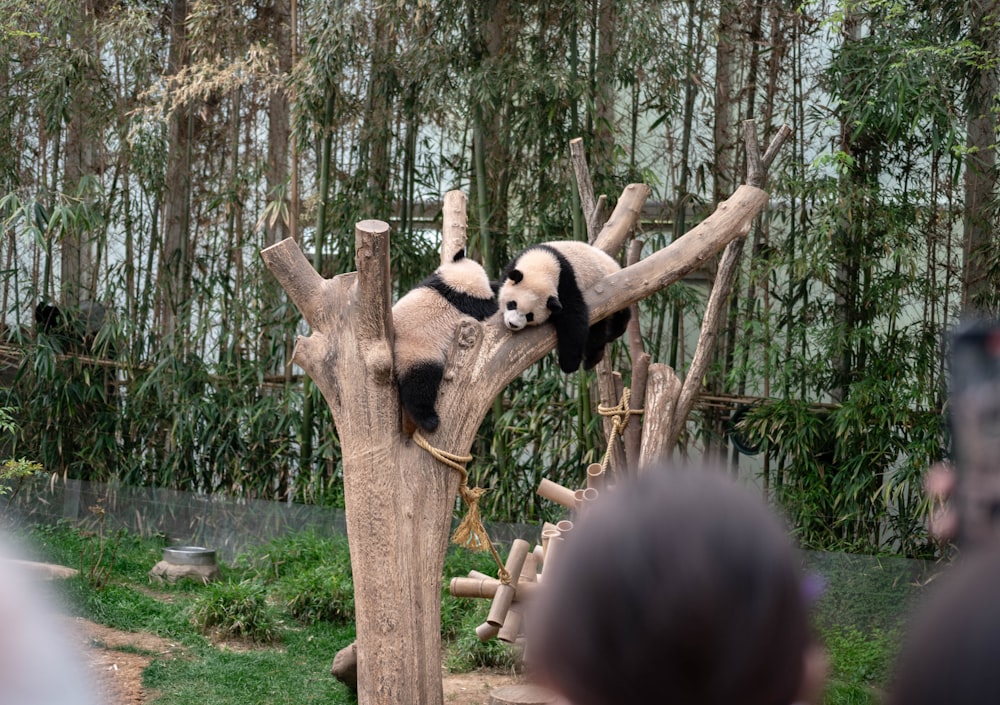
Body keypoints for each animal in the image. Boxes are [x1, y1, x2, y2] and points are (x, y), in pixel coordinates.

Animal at [392, 248, 498, 434]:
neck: (458, 289)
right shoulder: (476, 304)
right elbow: (491, 309)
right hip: (418, 352)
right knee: (419, 386)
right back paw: (429, 421)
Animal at [496, 241, 628, 374]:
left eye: (529, 316)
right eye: (512, 304)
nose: (513, 324)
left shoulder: (566, 283)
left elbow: (573, 317)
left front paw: (569, 364)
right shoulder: (513, 266)